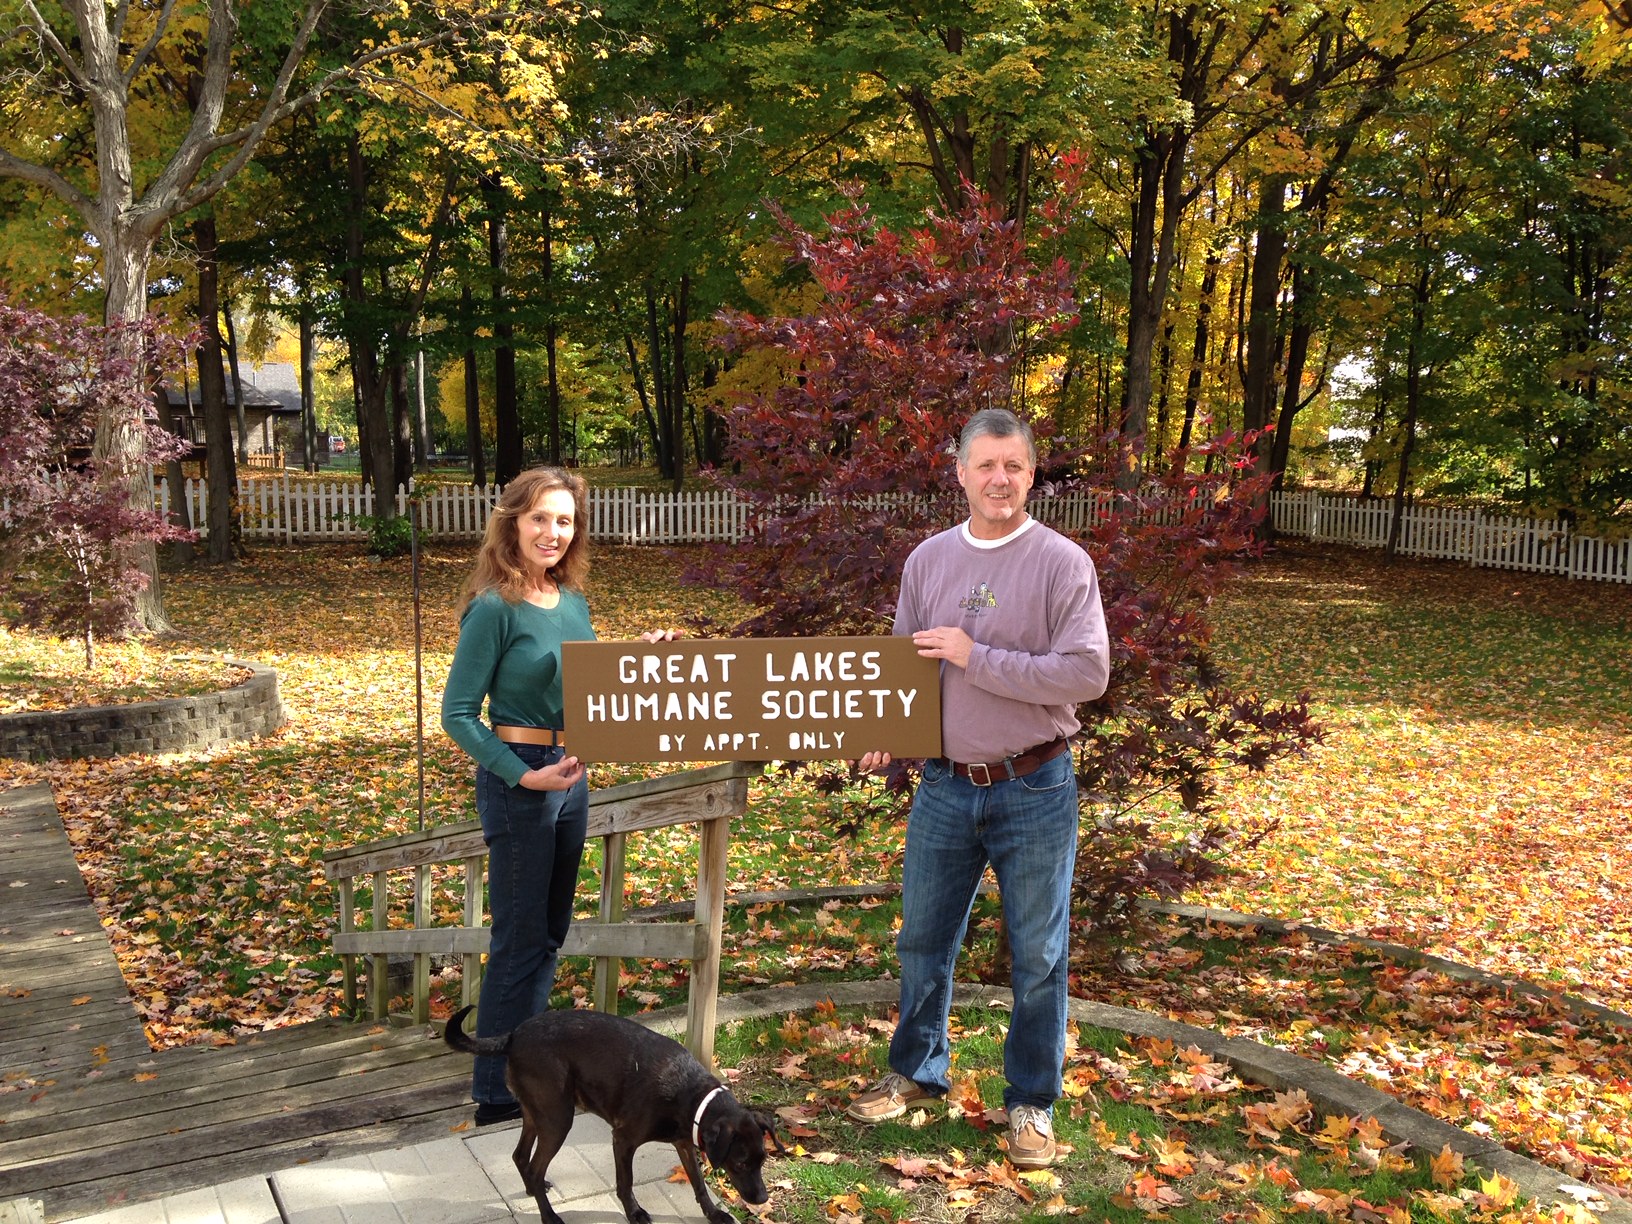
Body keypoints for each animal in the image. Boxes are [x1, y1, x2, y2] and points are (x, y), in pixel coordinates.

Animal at [444, 1005, 783, 1224]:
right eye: (741, 1163)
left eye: (763, 1161)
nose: (761, 1199)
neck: (692, 1094)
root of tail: (513, 1035)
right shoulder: (623, 1139)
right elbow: (626, 1182)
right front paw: (634, 1213)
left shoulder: (684, 1143)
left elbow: (698, 1183)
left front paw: (713, 1213)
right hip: (558, 1119)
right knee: (535, 1167)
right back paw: (549, 1215)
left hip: (537, 1113)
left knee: (520, 1157)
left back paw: (533, 1192)